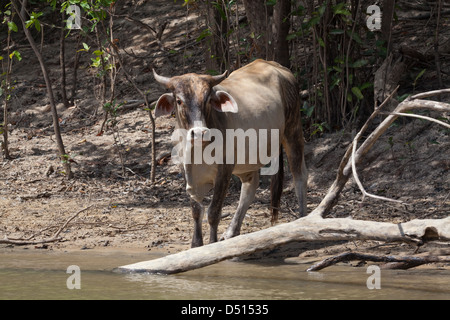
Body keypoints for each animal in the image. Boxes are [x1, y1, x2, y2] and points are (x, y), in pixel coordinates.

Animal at [154, 58, 306, 248]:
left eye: (208, 100)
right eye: (179, 101)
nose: (200, 133)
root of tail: (275, 65)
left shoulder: (224, 170)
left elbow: (213, 212)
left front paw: (211, 243)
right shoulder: (185, 170)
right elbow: (196, 211)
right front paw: (196, 245)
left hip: (293, 132)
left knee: (299, 176)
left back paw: (302, 218)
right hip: (246, 161)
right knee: (250, 187)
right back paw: (231, 232)